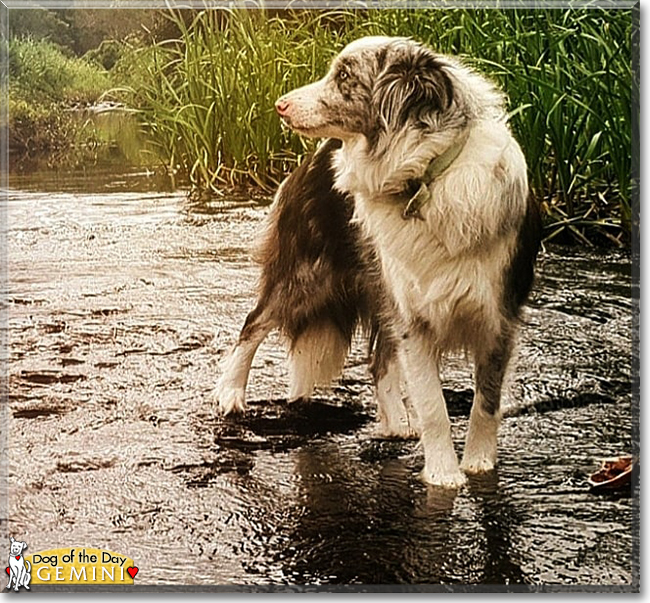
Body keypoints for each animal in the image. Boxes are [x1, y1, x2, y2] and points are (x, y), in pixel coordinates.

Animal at [215, 35, 540, 488]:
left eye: (344, 76)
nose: (280, 105)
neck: (425, 177)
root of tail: (312, 159)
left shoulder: (498, 318)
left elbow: (486, 403)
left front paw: (478, 465)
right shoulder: (415, 318)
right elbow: (434, 407)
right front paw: (443, 476)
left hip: (379, 282)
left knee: (379, 359)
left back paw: (396, 423)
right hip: (310, 274)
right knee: (254, 322)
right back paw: (230, 394)